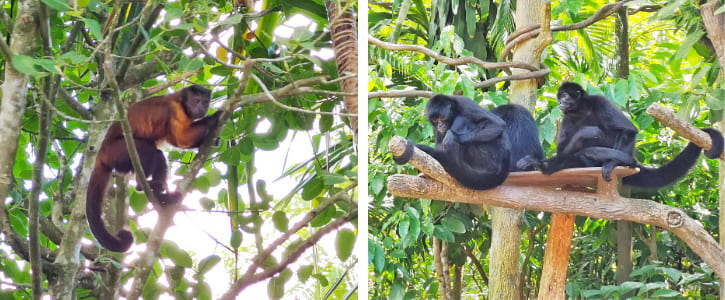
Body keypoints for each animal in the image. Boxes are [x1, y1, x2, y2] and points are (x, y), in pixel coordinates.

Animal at [394, 94, 540, 190]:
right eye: (435, 120)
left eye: (443, 118)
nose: (440, 125)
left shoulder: (465, 103)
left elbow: (497, 124)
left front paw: (454, 137)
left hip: (488, 156)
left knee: (462, 120)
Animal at [516, 81, 720, 186]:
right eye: (560, 97)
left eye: (565, 96)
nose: (561, 102)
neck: (581, 109)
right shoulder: (567, 117)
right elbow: (563, 150)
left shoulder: (599, 101)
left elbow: (628, 130)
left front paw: (614, 163)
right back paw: (546, 165)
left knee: (590, 132)